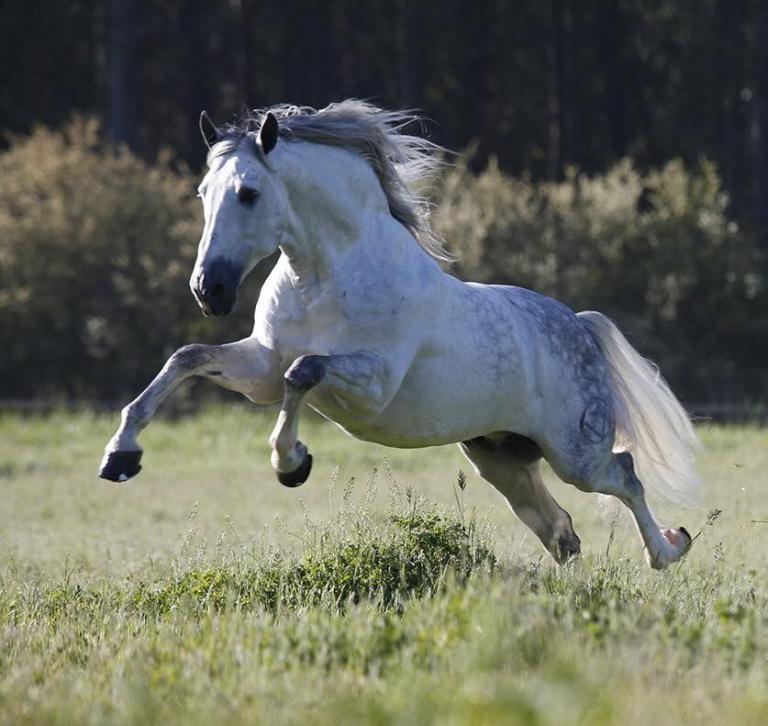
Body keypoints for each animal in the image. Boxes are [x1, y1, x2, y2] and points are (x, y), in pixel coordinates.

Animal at [99, 100, 701, 569]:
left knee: (625, 477)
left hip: (575, 454)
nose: (209, 290)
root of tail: (579, 324)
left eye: (248, 193)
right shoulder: (261, 368)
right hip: (501, 457)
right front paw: (120, 457)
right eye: (203, 192)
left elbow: (305, 370)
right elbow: (188, 357)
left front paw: (291, 464)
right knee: (560, 529)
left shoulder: (371, 382)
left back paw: (669, 549)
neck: (326, 275)